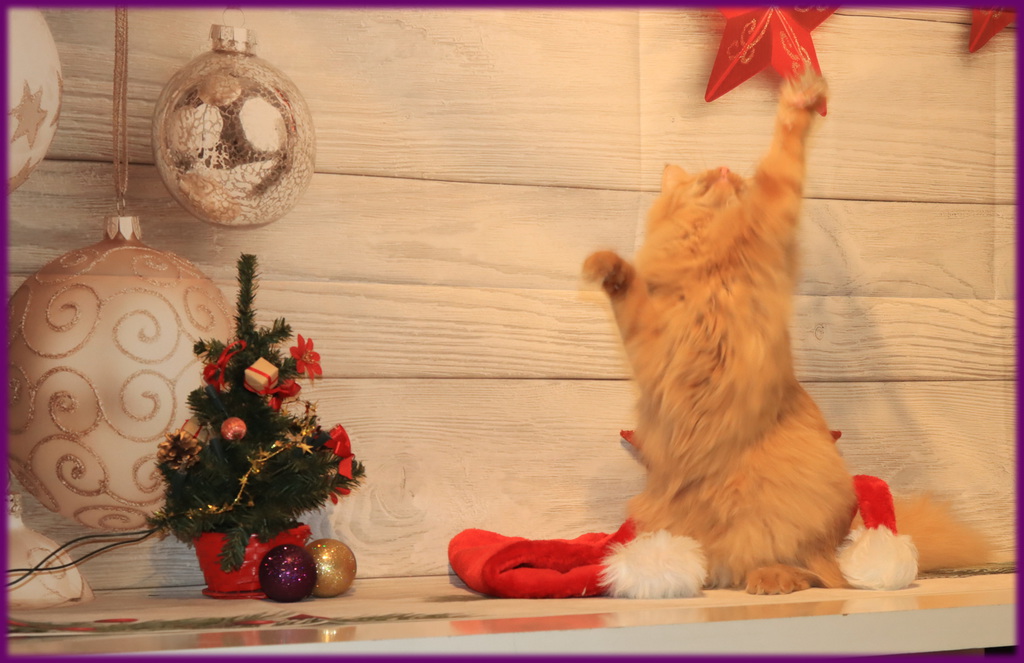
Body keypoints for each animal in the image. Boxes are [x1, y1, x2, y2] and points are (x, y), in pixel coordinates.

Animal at [583, 71, 993, 597]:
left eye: (736, 182)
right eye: (701, 183)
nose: (722, 170)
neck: (710, 265)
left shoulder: (770, 220)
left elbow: (781, 158)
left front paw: (800, 100)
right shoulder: (648, 334)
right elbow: (625, 287)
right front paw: (605, 267)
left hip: (787, 515)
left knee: (813, 573)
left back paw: (772, 578)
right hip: (664, 513)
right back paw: (681, 574)